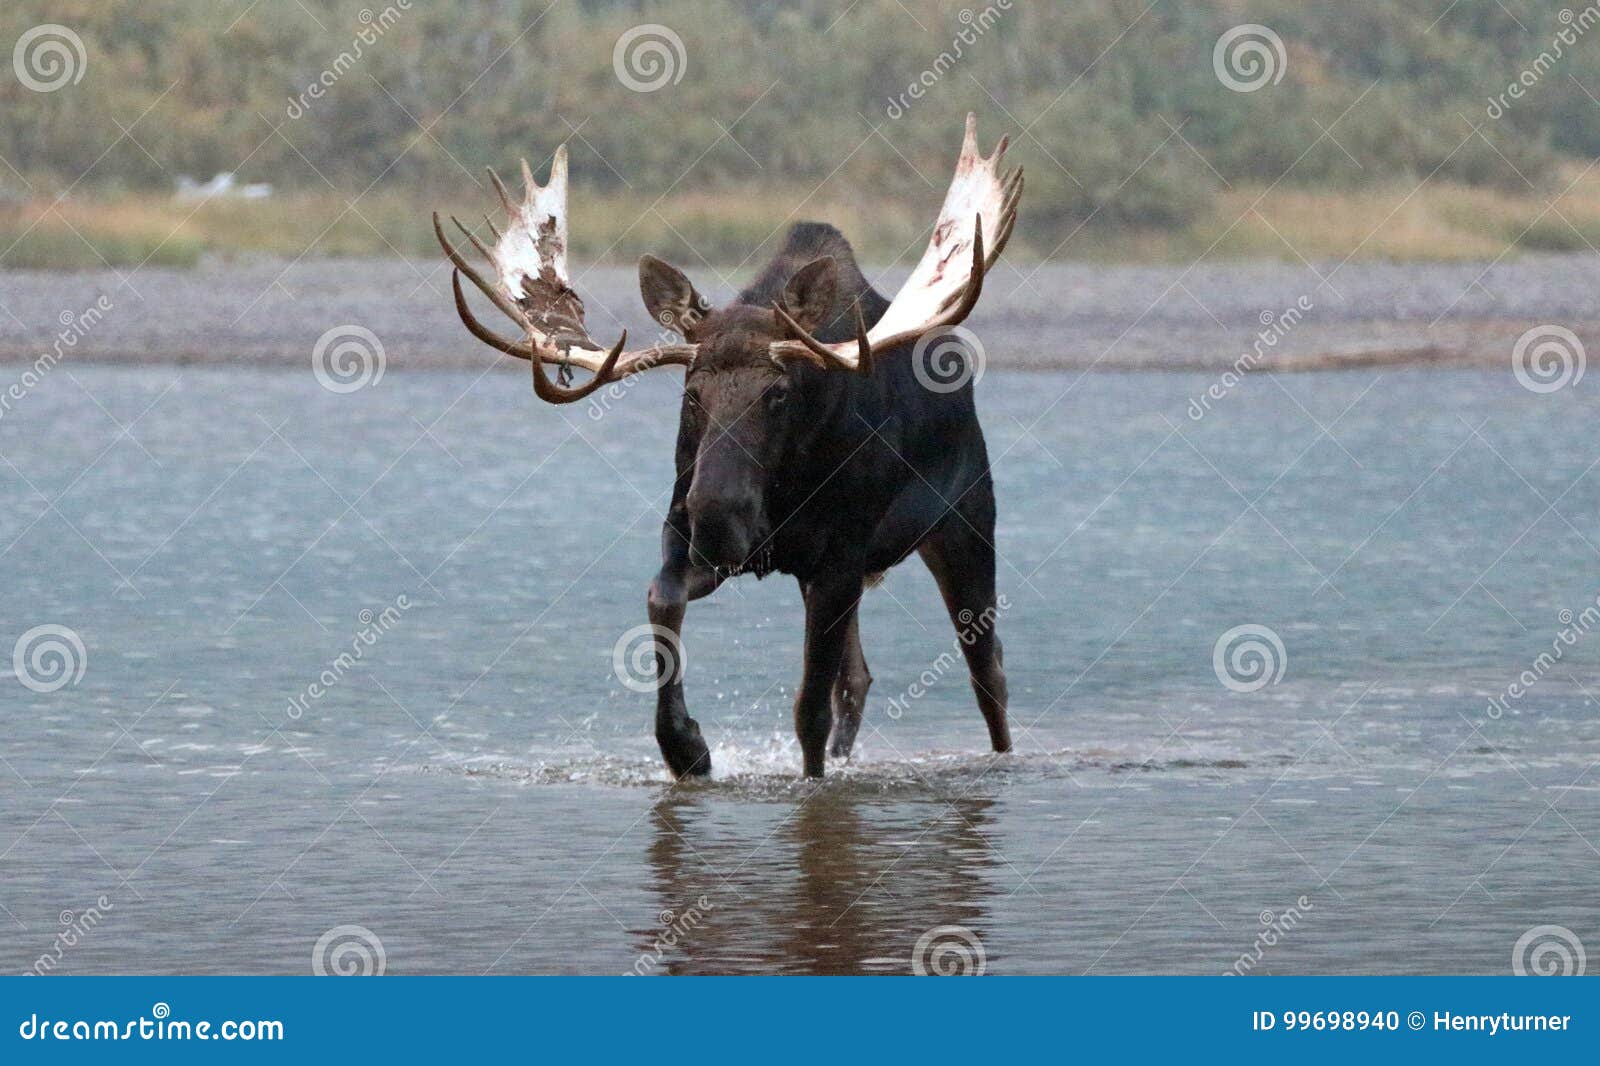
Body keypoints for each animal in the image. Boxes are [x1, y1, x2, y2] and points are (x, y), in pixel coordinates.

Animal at [432, 116, 1017, 777]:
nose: (716, 513)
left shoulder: (841, 555)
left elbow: (808, 708)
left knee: (987, 669)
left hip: (965, 523)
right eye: (691, 394)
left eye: (778, 393)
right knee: (859, 680)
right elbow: (662, 600)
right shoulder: (702, 539)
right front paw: (686, 745)